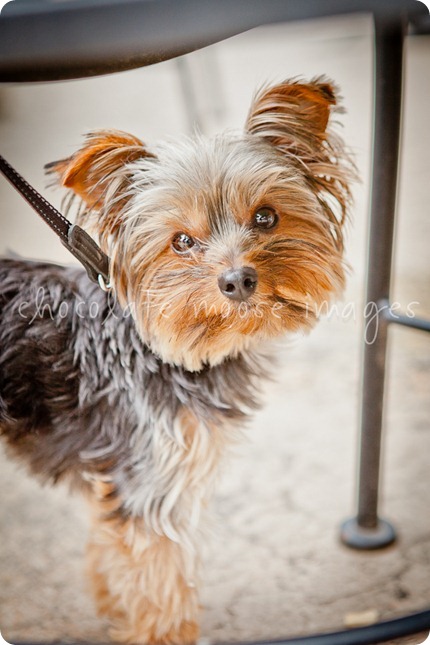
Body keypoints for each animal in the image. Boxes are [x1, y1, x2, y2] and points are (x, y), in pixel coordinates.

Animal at [0, 78, 350, 640]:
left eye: (266, 216)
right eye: (181, 241)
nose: (237, 280)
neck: (161, 349)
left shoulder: (120, 477)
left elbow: (111, 550)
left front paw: (112, 608)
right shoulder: (152, 484)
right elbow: (160, 590)